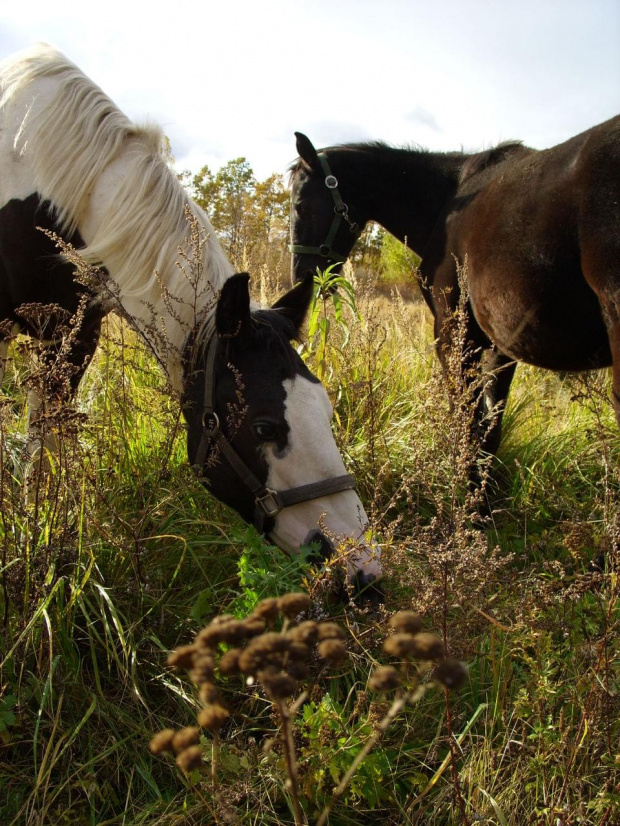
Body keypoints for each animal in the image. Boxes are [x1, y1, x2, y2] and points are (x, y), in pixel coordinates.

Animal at [290, 120, 620, 458]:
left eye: (300, 205)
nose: (301, 277)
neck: (447, 202)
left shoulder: (453, 335)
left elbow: (466, 427)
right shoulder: (500, 345)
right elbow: (488, 432)